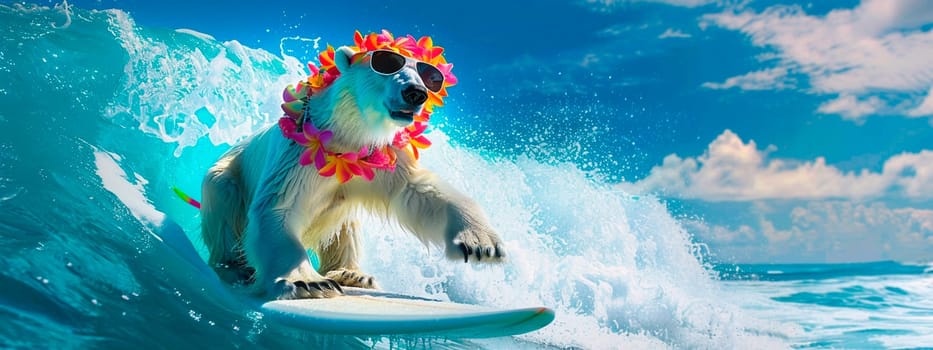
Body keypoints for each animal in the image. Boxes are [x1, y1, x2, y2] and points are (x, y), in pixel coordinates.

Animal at [196, 39, 502, 300]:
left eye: (430, 75)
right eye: (387, 62)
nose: (416, 93)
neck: (346, 137)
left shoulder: (379, 158)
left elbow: (418, 191)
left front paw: (480, 242)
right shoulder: (299, 152)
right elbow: (279, 206)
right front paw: (308, 282)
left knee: (346, 226)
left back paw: (352, 274)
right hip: (226, 174)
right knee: (223, 202)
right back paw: (235, 267)